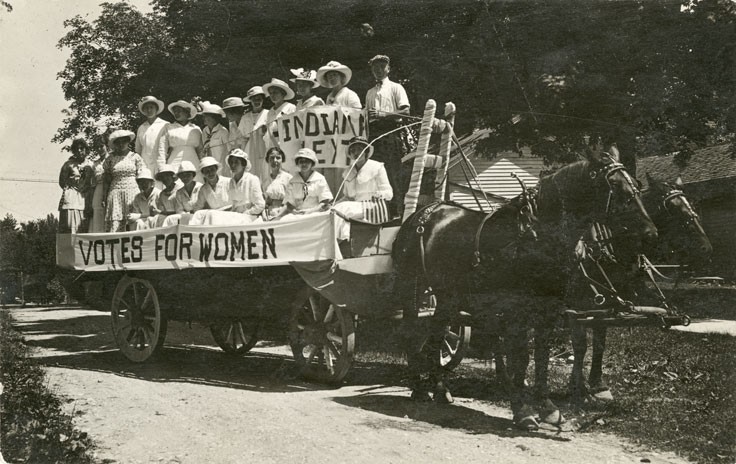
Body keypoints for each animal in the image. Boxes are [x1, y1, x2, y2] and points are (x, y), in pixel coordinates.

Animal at [392, 143, 656, 430]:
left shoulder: (549, 308)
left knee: (437, 335)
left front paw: (547, 407)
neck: (536, 237)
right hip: (411, 288)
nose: (650, 233)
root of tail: (426, 211)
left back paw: (440, 389)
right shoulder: (517, 309)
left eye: (636, 186)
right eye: (616, 187)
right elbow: (521, 356)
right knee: (411, 333)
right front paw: (523, 410)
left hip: (448, 296)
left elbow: (541, 356)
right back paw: (419, 388)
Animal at [568, 173, 712, 402]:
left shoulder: (605, 308)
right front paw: (577, 387)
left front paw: (597, 385)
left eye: (691, 206)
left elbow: (600, 342)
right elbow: (580, 346)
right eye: (672, 208)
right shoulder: (576, 307)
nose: (706, 248)